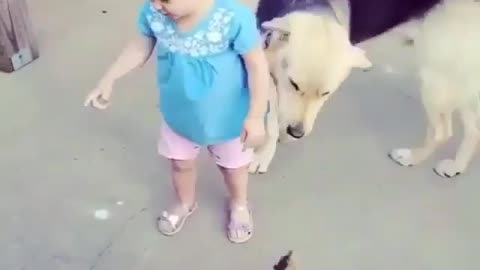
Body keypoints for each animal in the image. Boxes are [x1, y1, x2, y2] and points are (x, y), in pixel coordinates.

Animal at [246, 0, 374, 174]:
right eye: (293, 84)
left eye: (325, 93)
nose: (296, 132)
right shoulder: (266, 71)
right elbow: (272, 119)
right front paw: (264, 152)